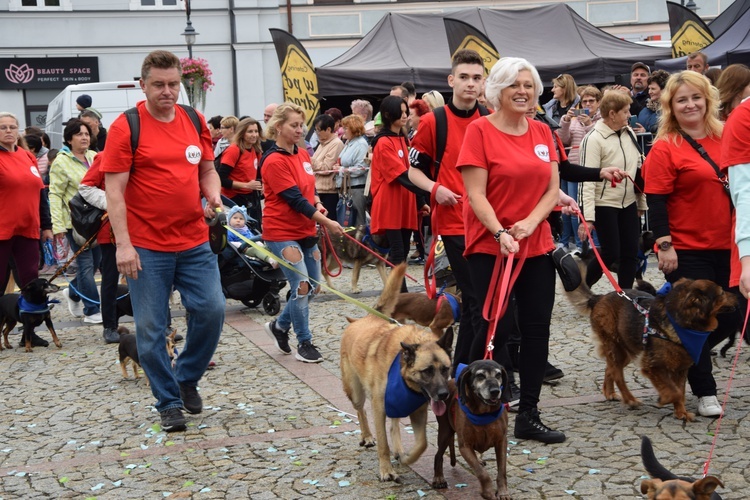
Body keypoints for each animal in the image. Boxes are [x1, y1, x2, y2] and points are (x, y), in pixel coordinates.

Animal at [340, 264, 452, 482]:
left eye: (445, 369)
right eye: (427, 371)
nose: (444, 395)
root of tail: (367, 318)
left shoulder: (418, 411)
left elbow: (422, 443)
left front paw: (408, 458)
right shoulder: (379, 409)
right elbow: (383, 443)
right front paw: (386, 470)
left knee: (394, 424)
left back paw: (399, 450)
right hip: (356, 392)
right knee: (360, 410)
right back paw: (367, 436)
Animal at [432, 360, 516, 500]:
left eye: (498, 375)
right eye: (480, 376)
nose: (495, 391)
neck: (483, 413)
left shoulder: (501, 442)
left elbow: (502, 471)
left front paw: (503, 492)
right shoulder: (465, 446)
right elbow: (482, 473)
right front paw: (487, 492)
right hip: (445, 432)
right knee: (438, 455)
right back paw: (438, 478)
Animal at [568, 254, 736, 422]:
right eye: (721, 293)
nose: (736, 295)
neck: (682, 325)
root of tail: (599, 298)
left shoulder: (681, 369)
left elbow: (680, 392)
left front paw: (681, 412)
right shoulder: (653, 366)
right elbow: (674, 391)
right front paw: (664, 399)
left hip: (627, 351)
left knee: (610, 369)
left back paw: (610, 393)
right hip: (616, 348)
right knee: (617, 374)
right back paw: (630, 399)